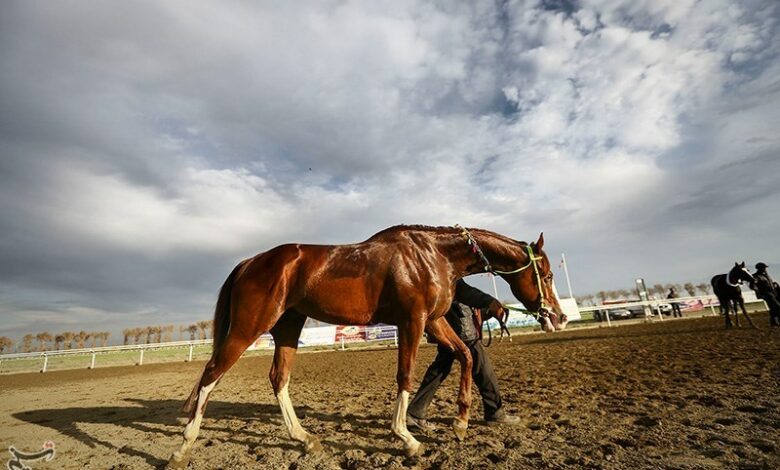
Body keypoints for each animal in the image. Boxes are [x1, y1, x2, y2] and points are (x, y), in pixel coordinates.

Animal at [169, 225, 568, 466]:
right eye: (547, 275)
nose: (558, 316)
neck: (431, 256)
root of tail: (250, 262)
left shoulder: (434, 321)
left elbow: (466, 356)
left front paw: (459, 423)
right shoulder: (412, 322)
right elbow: (405, 376)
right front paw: (406, 436)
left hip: (287, 326)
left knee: (278, 378)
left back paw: (305, 438)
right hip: (250, 326)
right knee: (212, 373)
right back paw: (183, 446)